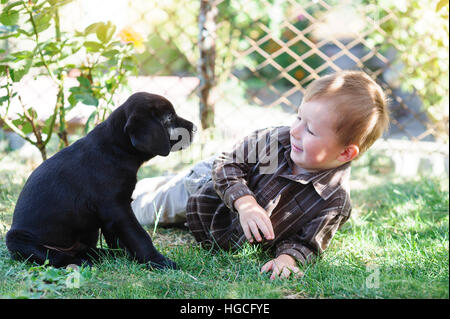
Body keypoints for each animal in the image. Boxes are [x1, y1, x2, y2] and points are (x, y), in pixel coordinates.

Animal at [5, 92, 195, 270]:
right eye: (169, 117)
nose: (194, 128)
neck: (115, 149)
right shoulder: (116, 207)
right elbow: (139, 236)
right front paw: (159, 262)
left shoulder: (112, 213)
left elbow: (119, 239)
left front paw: (127, 257)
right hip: (17, 239)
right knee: (54, 256)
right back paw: (80, 262)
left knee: (88, 250)